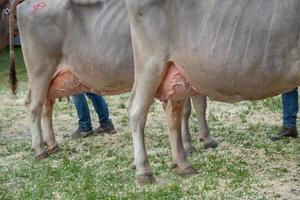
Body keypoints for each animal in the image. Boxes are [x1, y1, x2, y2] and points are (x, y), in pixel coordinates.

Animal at [8, 0, 217, 170]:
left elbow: (197, 106)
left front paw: (200, 140)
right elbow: (187, 109)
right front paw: (192, 145)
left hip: (49, 78)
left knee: (46, 105)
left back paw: (51, 144)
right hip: (40, 70)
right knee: (33, 106)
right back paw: (39, 149)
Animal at [123, 0, 300, 184]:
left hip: (177, 74)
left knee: (173, 114)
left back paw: (183, 164)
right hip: (150, 64)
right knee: (136, 110)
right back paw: (144, 172)